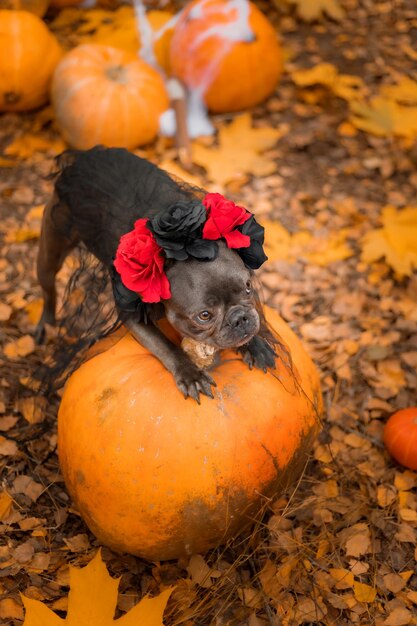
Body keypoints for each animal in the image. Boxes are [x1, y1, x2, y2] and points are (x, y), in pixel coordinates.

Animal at [36, 146, 276, 400]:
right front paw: (190, 373)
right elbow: (164, 345)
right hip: (51, 247)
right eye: (204, 316)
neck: (179, 247)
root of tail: (84, 155)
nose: (240, 319)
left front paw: (256, 345)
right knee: (48, 289)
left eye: (248, 288)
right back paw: (46, 324)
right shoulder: (132, 314)